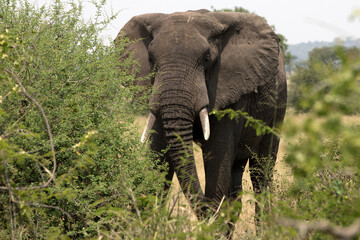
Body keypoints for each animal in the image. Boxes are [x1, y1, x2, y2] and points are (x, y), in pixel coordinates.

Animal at [116, 9, 288, 218]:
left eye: (207, 59)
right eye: (150, 60)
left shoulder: (230, 89)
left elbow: (217, 156)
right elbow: (158, 153)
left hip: (278, 107)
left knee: (261, 172)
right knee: (236, 177)